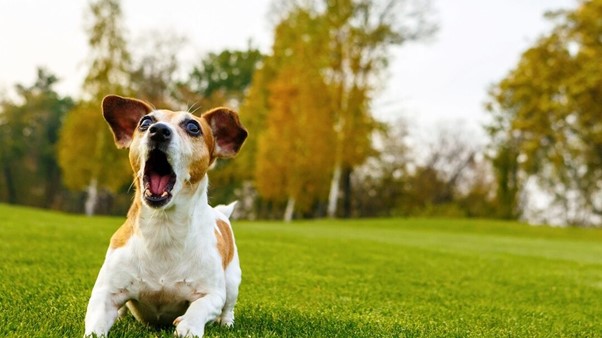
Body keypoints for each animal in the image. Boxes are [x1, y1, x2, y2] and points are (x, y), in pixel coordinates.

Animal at [82, 95, 246, 338]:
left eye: (193, 127)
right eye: (145, 122)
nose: (158, 130)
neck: (163, 227)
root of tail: (220, 214)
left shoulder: (213, 295)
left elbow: (200, 308)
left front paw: (188, 326)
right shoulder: (105, 293)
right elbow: (97, 323)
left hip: (232, 281)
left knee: (228, 308)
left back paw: (226, 323)